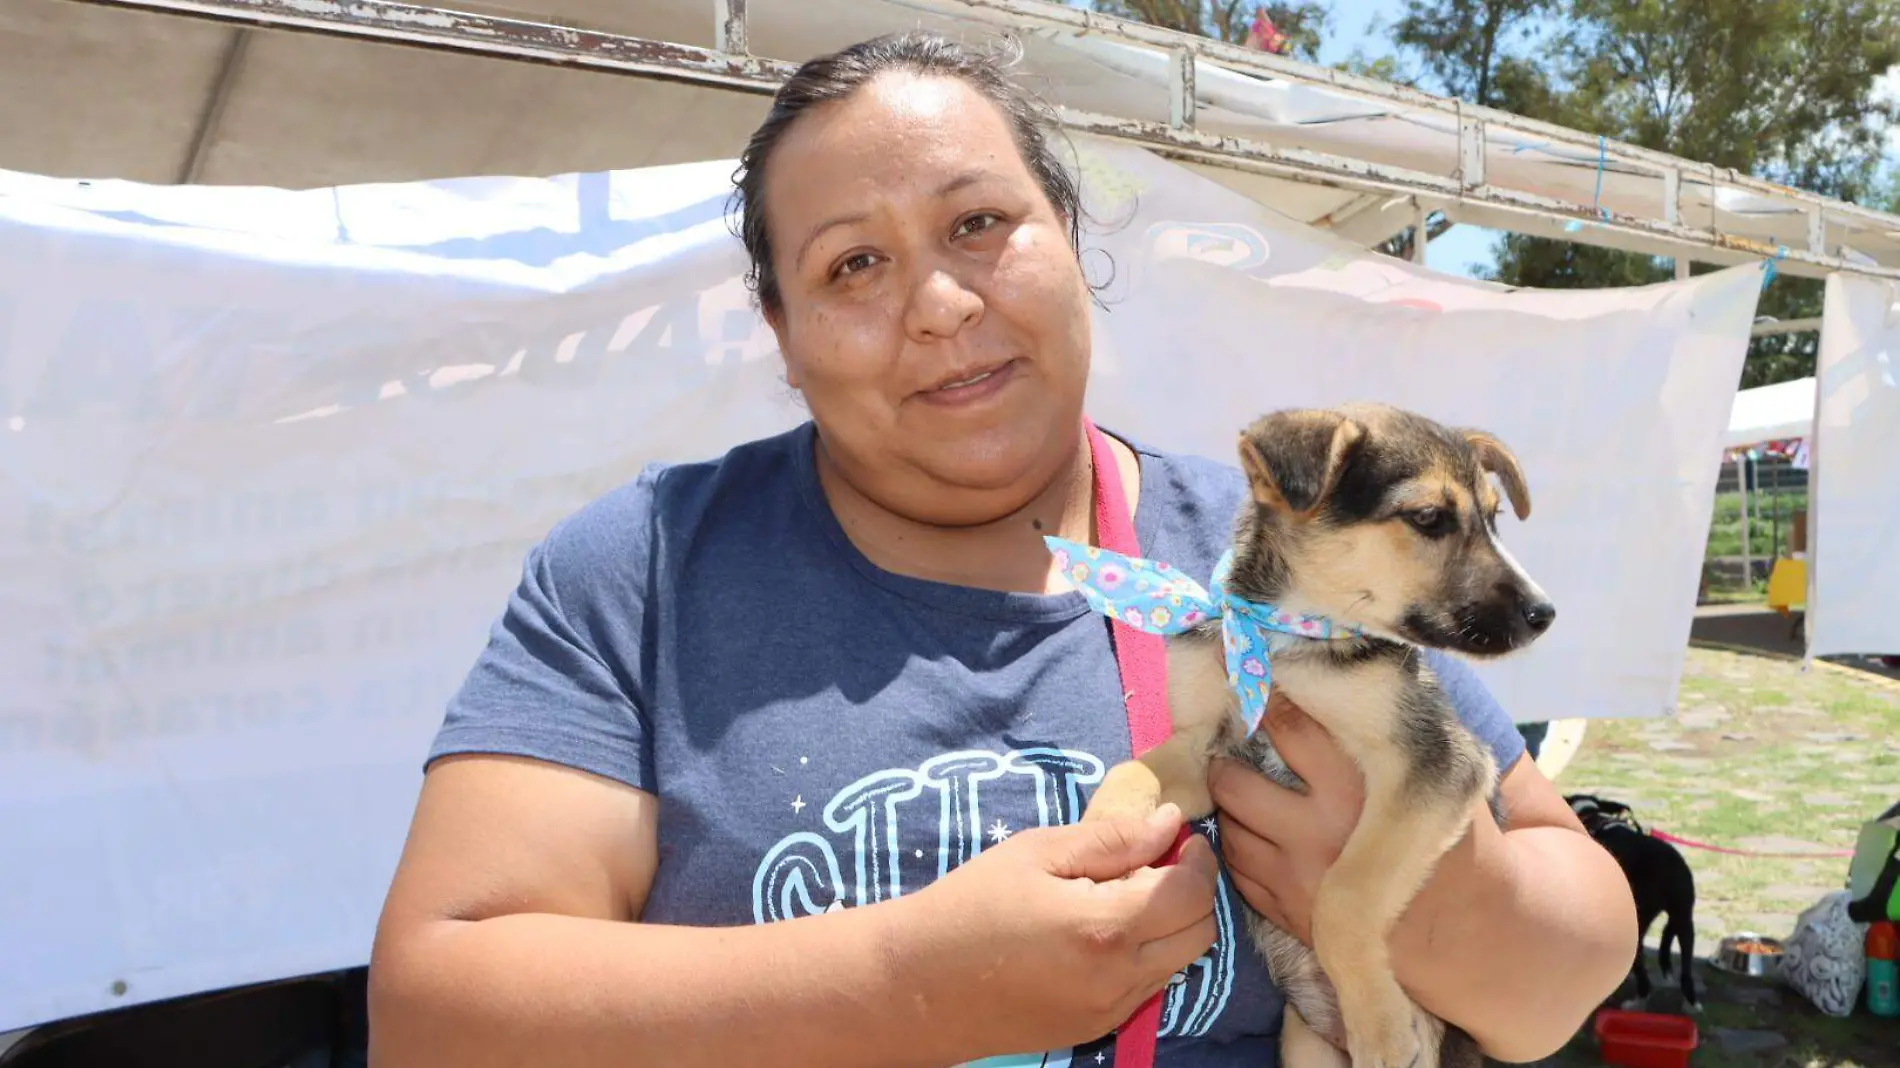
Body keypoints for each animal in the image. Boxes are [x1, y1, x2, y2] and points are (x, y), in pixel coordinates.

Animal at [1086, 400, 1558, 1064]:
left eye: (1494, 519)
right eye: (1429, 518)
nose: (1545, 614)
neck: (1286, 634)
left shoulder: (1437, 761)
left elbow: (1342, 894)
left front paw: (1380, 1025)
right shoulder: (1205, 753)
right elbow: (1135, 769)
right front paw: (1105, 837)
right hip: (1303, 1043)